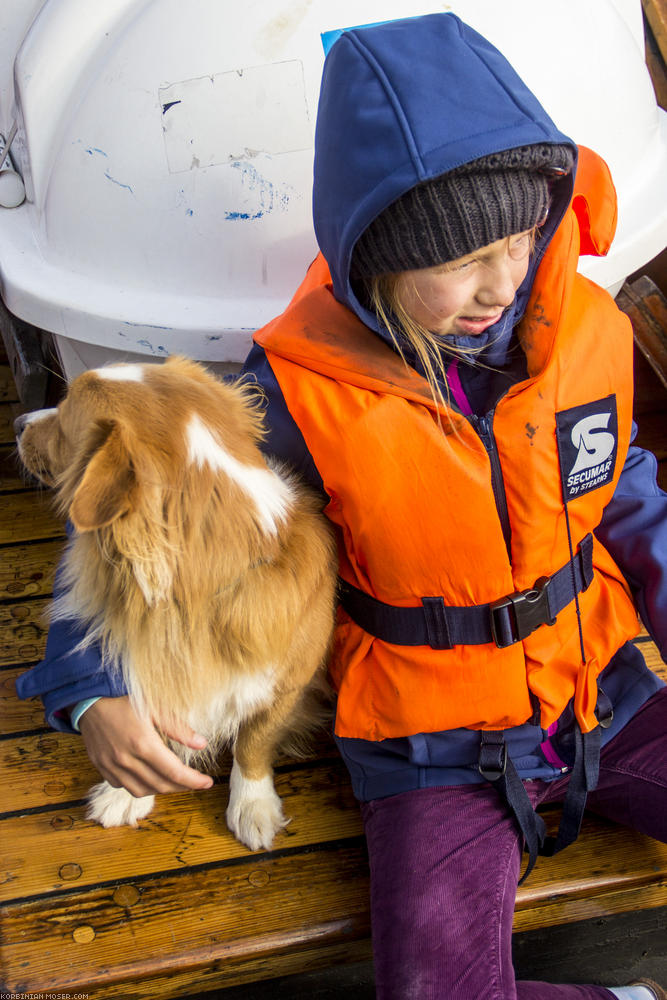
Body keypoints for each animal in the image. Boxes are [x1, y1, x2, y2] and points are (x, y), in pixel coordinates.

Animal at [15, 356, 340, 848]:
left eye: (65, 416)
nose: (16, 423)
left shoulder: (288, 685)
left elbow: (253, 743)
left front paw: (253, 806)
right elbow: (146, 723)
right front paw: (125, 792)